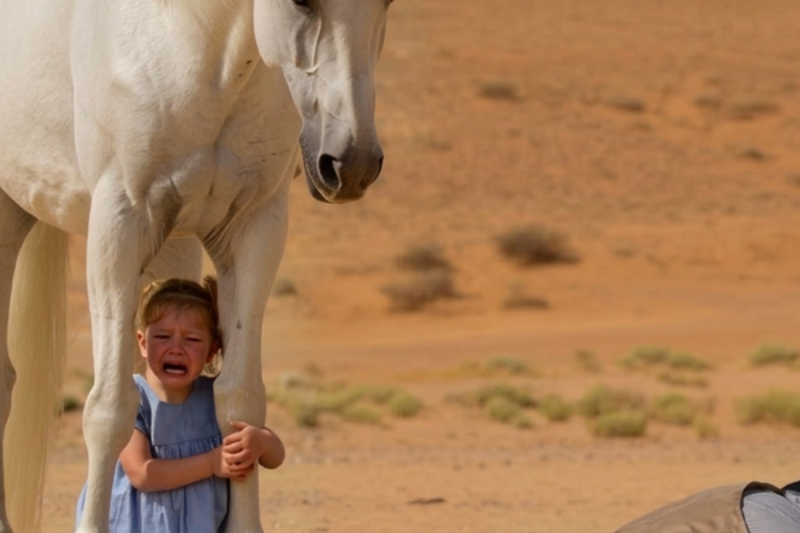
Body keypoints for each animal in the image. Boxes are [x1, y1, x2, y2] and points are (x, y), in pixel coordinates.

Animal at [0, 0, 392, 531]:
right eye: (301, 3)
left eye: (387, 5)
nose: (352, 165)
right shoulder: (117, 227)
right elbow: (110, 410)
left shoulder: (252, 231)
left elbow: (239, 400)